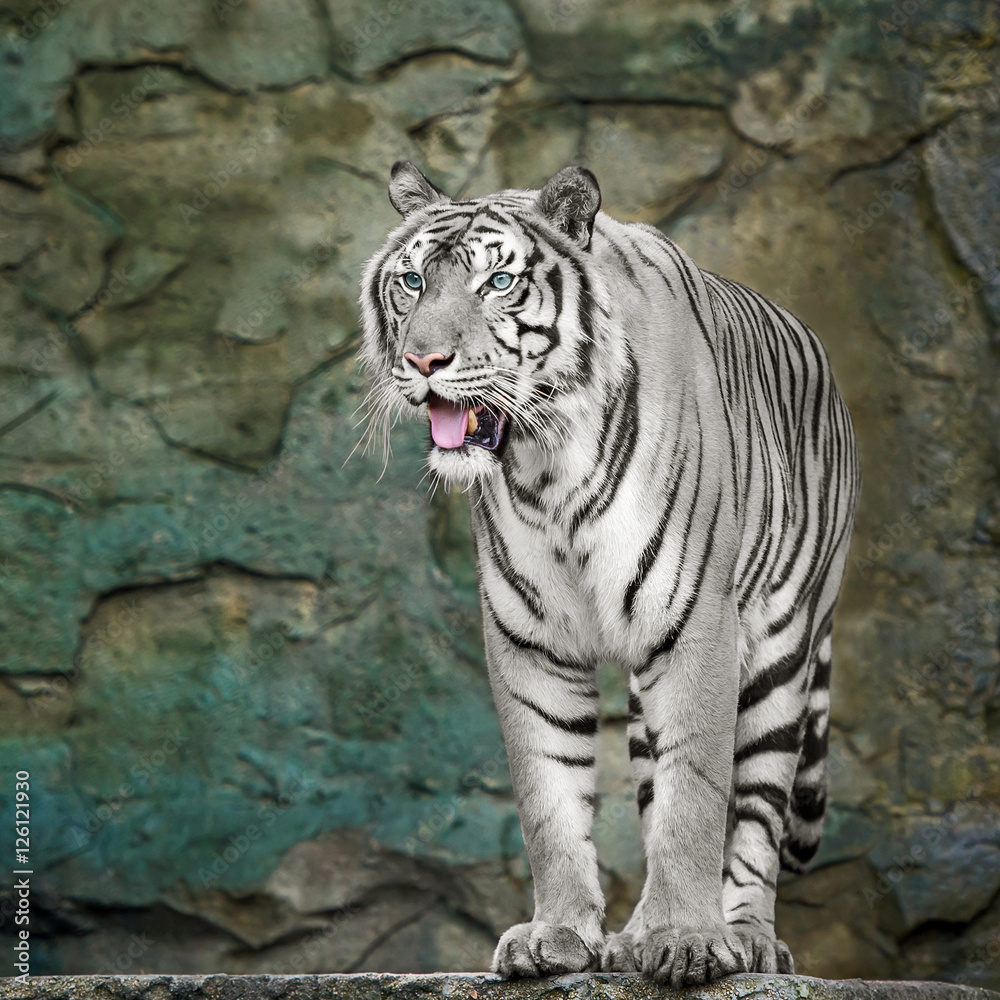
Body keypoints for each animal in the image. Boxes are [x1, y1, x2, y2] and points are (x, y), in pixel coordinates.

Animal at [358, 160, 861, 986]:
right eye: (411, 280)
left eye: (498, 282)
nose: (423, 362)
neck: (546, 465)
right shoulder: (528, 639)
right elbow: (550, 796)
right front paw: (557, 934)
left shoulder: (698, 626)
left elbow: (696, 797)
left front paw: (690, 940)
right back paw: (637, 935)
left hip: (782, 655)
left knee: (757, 807)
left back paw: (745, 937)